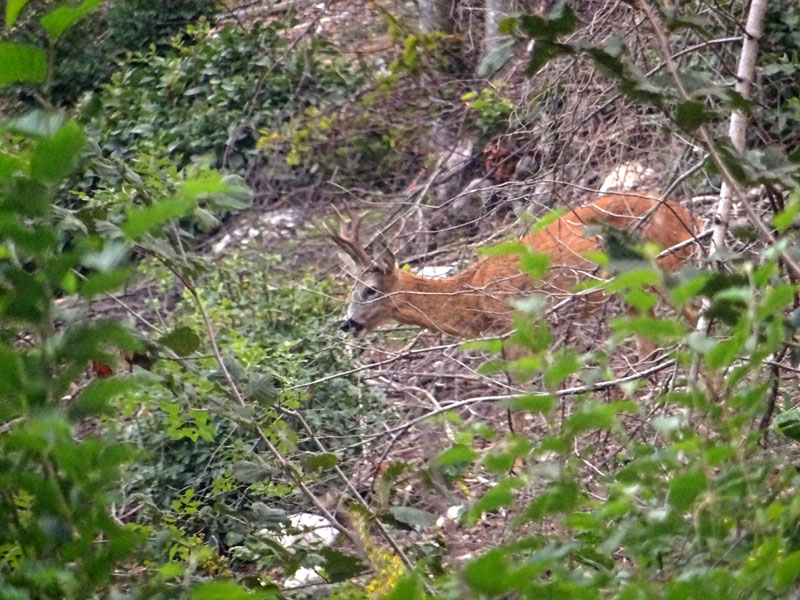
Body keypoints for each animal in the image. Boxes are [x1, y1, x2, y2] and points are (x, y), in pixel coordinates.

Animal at [324, 193, 700, 342]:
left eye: (369, 290)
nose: (347, 324)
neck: (471, 296)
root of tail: (688, 216)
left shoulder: (517, 320)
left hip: (662, 265)